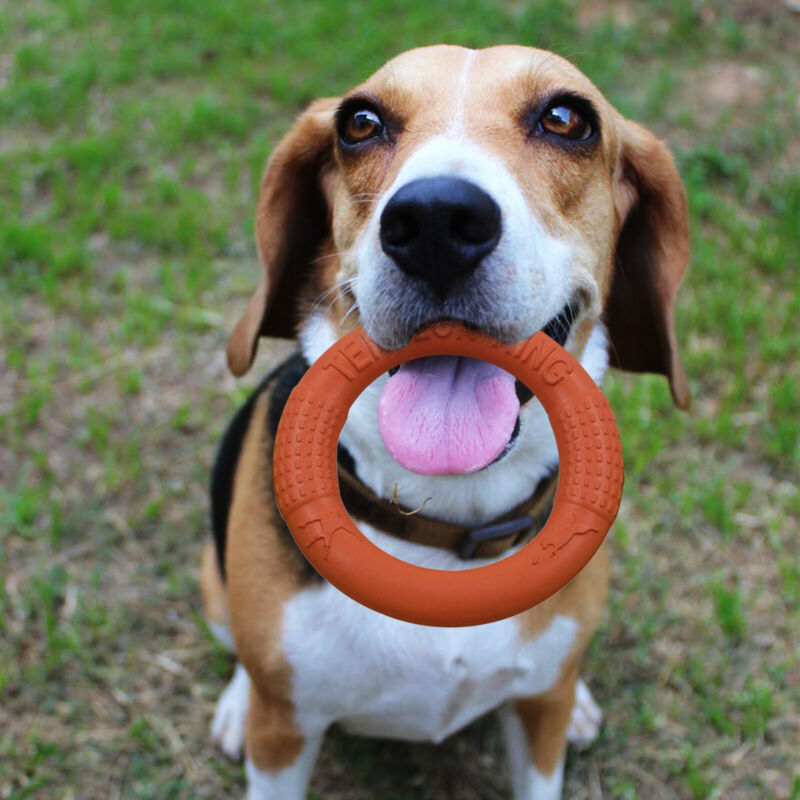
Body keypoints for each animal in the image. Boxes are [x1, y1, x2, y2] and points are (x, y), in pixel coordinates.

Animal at [200, 45, 688, 800]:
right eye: (359, 123)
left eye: (566, 118)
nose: (434, 220)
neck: (445, 527)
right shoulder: (283, 734)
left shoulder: (538, 729)